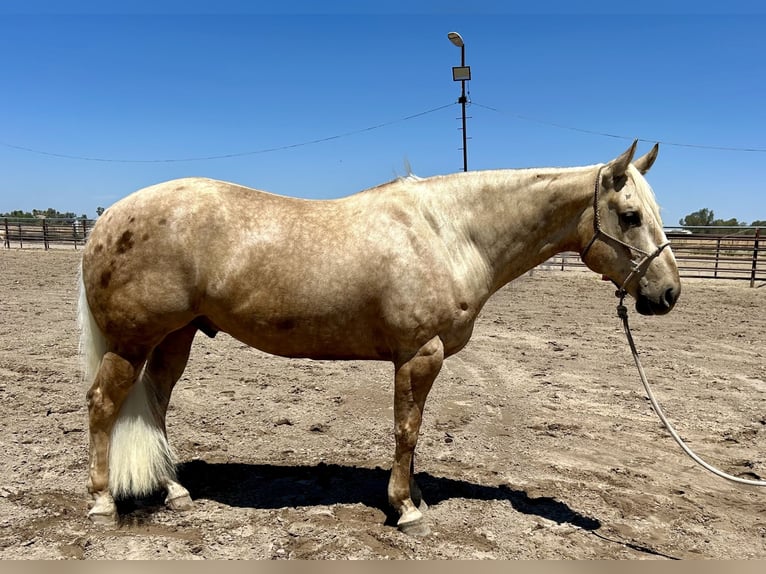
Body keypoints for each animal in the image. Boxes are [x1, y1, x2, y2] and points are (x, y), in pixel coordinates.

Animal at [78, 140, 681, 535]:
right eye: (630, 215)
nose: (669, 293)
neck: (450, 232)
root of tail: (109, 218)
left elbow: (413, 430)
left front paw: (415, 496)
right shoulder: (419, 354)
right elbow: (406, 430)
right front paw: (406, 509)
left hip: (175, 338)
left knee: (155, 403)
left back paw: (175, 492)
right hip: (132, 342)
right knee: (104, 404)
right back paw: (104, 504)